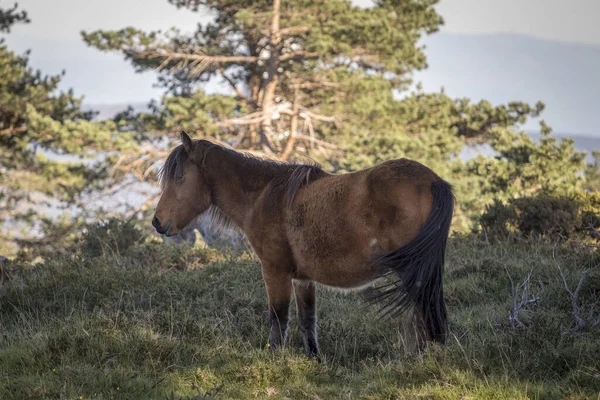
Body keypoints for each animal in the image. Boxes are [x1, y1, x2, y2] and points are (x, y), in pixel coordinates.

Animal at [152, 131, 452, 360]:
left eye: (179, 177)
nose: (157, 222)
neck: (263, 196)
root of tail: (434, 181)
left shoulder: (275, 271)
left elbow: (278, 317)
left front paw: (274, 357)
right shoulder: (303, 279)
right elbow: (307, 321)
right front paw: (314, 360)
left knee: (425, 309)